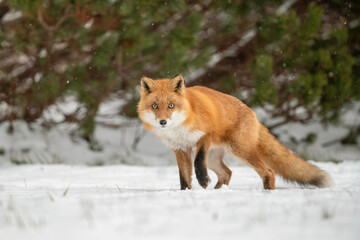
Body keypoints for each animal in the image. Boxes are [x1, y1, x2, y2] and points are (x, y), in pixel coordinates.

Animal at [137, 74, 332, 190]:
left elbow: (198, 161)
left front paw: (203, 180)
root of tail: (254, 114)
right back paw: (219, 191)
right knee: (227, 173)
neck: (179, 128)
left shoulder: (204, 136)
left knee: (268, 171)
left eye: (171, 105)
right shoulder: (180, 148)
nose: (163, 122)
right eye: (155, 106)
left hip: (240, 151)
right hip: (214, 158)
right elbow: (184, 177)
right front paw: (186, 192)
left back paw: (268, 192)